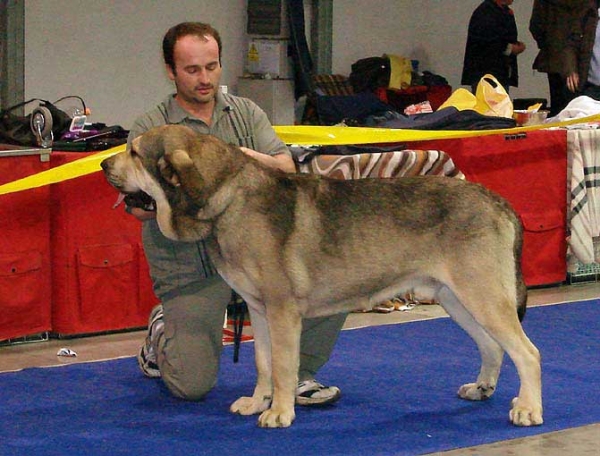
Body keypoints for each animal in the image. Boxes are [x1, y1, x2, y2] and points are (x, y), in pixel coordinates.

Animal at [102, 124, 544, 428]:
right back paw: (482, 389)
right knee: (493, 347)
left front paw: (279, 412)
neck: (229, 199)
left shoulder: (282, 312)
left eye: (135, 152)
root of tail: (497, 201)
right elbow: (263, 364)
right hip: (457, 299)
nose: (104, 163)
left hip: (483, 296)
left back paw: (528, 408)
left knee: (527, 352)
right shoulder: (259, 311)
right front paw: (258, 402)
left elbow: (283, 366)